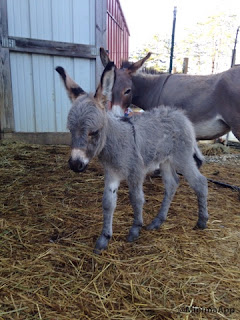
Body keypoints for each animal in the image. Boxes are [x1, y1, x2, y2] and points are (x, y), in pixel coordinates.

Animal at [56, 62, 208, 252]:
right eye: (70, 130)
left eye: (94, 132)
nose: (75, 164)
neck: (115, 142)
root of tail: (181, 116)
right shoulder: (112, 174)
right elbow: (108, 203)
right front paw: (104, 238)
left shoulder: (136, 172)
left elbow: (136, 199)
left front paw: (135, 229)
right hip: (165, 160)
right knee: (172, 184)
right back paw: (158, 221)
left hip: (183, 157)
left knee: (199, 182)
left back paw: (202, 221)